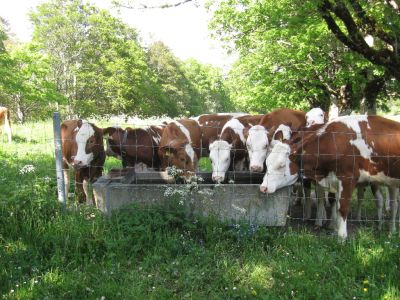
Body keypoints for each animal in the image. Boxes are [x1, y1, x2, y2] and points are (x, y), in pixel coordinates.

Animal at [260, 115, 400, 239]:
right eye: (267, 162)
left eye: (281, 165)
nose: (263, 187)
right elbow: (329, 202)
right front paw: (332, 226)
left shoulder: (347, 179)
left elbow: (342, 207)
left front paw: (341, 237)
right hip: (391, 182)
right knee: (393, 204)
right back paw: (389, 229)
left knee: (391, 204)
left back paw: (389, 229)